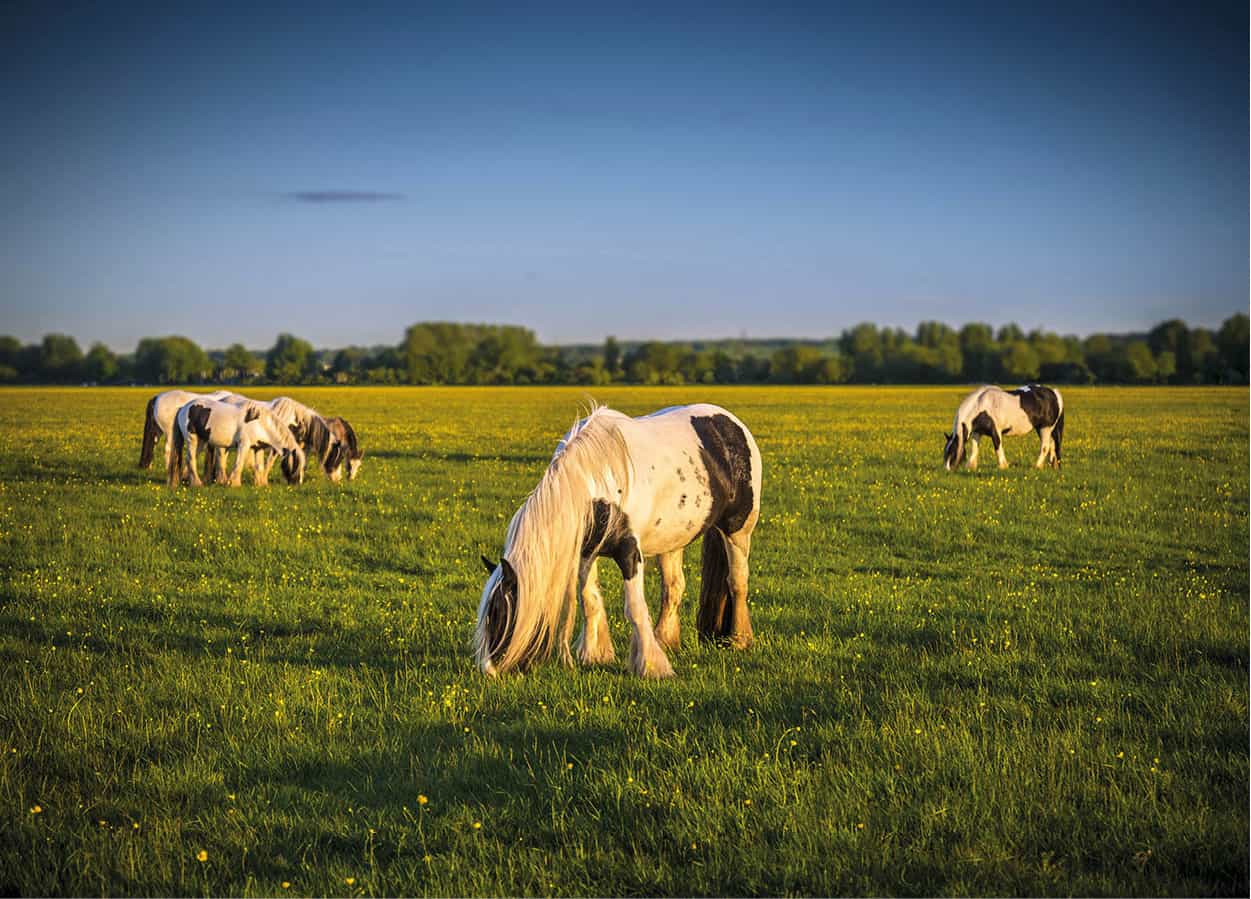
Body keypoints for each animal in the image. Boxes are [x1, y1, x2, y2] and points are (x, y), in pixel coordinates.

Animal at [167, 397, 306, 487]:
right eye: (296, 464)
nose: (297, 484)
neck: (260, 423)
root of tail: (183, 408)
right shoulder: (244, 445)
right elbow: (239, 464)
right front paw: (234, 483)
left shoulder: (258, 448)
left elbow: (259, 466)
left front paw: (260, 485)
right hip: (192, 439)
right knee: (190, 459)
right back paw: (197, 483)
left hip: (201, 442)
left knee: (189, 459)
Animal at [472, 405, 755, 680]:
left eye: (497, 612)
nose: (488, 671)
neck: (593, 484)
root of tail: (731, 422)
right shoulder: (585, 553)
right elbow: (589, 600)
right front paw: (595, 655)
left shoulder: (629, 552)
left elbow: (635, 608)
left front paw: (651, 666)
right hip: (673, 540)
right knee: (673, 588)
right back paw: (665, 640)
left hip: (738, 531)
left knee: (737, 581)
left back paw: (740, 639)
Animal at [940, 385, 1070, 470]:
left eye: (952, 451)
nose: (947, 470)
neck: (980, 405)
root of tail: (1054, 392)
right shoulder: (977, 432)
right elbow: (975, 449)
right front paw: (971, 466)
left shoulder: (995, 431)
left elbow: (998, 447)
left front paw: (1003, 466)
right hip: (1045, 429)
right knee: (1053, 447)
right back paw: (1053, 466)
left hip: (1045, 428)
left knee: (1045, 447)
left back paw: (1037, 466)